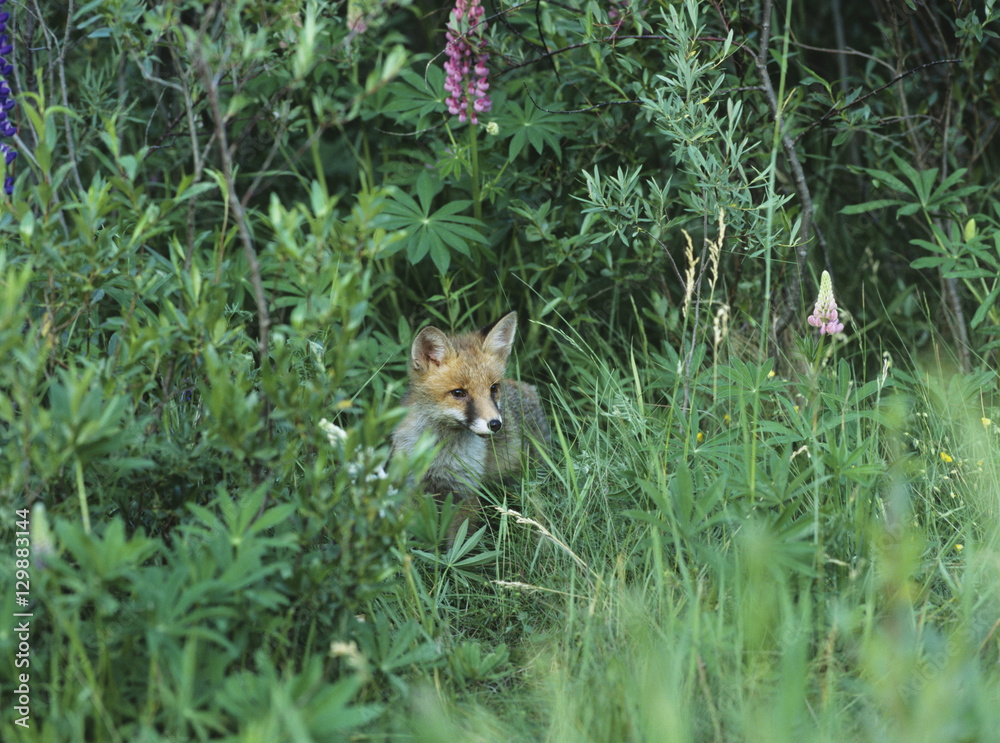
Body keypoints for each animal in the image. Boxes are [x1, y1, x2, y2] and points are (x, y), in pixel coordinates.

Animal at [391, 311, 549, 534]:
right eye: (459, 393)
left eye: (493, 388)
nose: (495, 424)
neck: (440, 455)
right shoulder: (411, 486)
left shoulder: (465, 490)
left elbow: (460, 539)